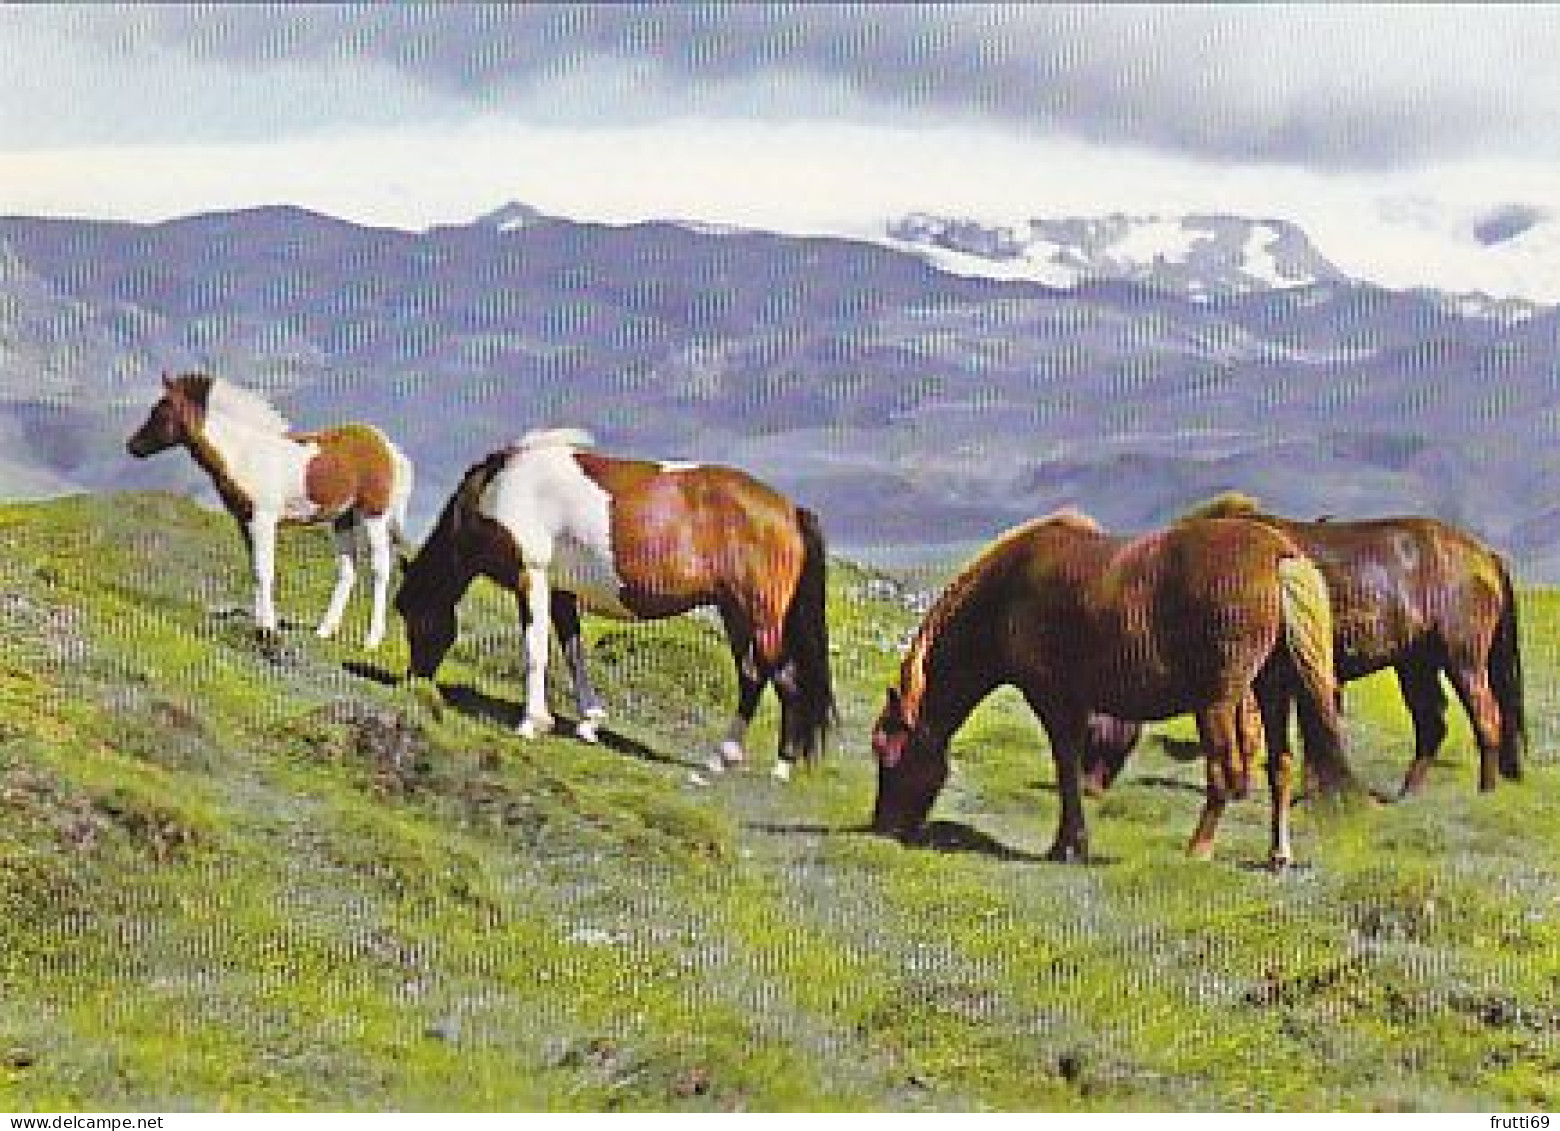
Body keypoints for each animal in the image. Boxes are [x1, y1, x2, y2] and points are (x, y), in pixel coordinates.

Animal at [126, 372, 414, 648]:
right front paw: (261, 628)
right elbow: (255, 569)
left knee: (380, 569)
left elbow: (264, 570)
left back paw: (371, 640)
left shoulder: (263, 519)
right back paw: (324, 631)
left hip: (374, 514)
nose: (133, 446)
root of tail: (388, 447)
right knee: (347, 570)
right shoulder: (245, 520)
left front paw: (268, 630)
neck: (243, 453)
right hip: (343, 517)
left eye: (161, 412)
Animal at [396, 424, 836, 776]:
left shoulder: (531, 577)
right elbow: (572, 650)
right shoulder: (561, 591)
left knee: (778, 677)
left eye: (416, 617)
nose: (415, 682)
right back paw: (734, 757)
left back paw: (770, 764)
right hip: (736, 613)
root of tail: (791, 511)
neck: (499, 488)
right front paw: (588, 721)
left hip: (759, 614)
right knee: (757, 675)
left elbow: (535, 650)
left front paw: (531, 723)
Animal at [873, 508, 1360, 867]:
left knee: (1222, 772)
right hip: (1273, 689)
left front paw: (1068, 845)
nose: (883, 828)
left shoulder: (1054, 700)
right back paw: (1278, 854)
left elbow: (1066, 767)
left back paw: (1198, 849)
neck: (1006, 595)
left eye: (887, 751)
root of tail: (1279, 555)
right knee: (1280, 765)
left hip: (1217, 702)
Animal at [1085, 492, 1522, 795]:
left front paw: (1245, 788)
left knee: (1487, 717)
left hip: (1462, 659)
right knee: (1432, 724)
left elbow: (1249, 731)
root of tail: (1486, 555)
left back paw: (1486, 790)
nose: (1089, 787)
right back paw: (1407, 794)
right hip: (1415, 663)